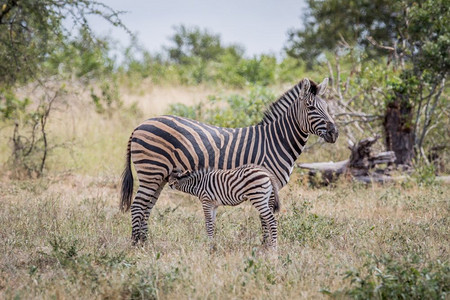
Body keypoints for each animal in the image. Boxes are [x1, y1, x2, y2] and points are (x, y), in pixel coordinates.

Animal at [120, 78, 338, 244]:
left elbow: (265, 217)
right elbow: (265, 218)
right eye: (310, 107)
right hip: (151, 172)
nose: (335, 133)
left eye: (328, 107)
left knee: (147, 207)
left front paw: (265, 245)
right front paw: (266, 246)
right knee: (138, 206)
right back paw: (136, 245)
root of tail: (140, 125)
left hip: (160, 177)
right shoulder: (265, 183)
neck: (276, 141)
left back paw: (145, 243)